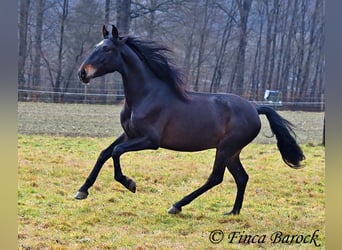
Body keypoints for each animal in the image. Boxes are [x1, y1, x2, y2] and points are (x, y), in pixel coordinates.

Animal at [75, 24, 304, 214]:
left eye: (106, 49)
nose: (82, 73)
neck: (145, 96)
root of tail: (255, 109)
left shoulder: (150, 140)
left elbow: (116, 151)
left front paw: (130, 183)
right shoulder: (129, 134)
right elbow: (104, 153)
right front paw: (82, 191)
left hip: (226, 148)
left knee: (216, 177)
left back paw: (177, 206)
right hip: (232, 152)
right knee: (241, 177)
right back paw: (233, 212)